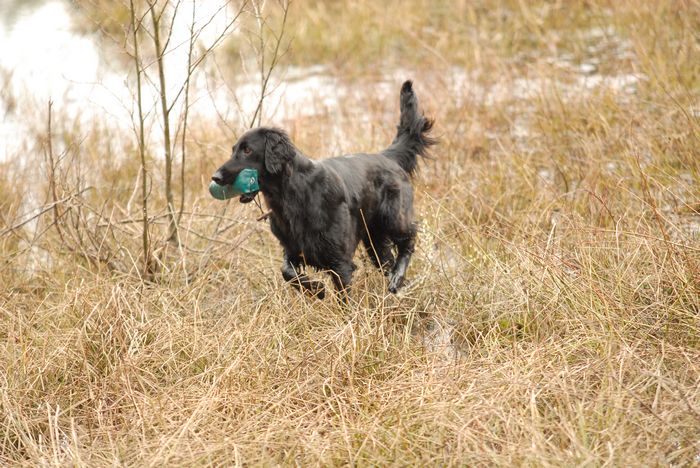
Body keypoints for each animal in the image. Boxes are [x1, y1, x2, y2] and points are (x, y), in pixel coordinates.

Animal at [211, 81, 434, 298]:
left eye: (247, 150)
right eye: (234, 150)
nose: (216, 177)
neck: (293, 196)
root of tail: (387, 156)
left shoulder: (339, 261)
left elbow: (344, 297)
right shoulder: (293, 248)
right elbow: (287, 272)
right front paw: (317, 289)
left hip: (393, 218)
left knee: (409, 240)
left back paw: (397, 278)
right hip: (374, 239)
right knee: (386, 260)